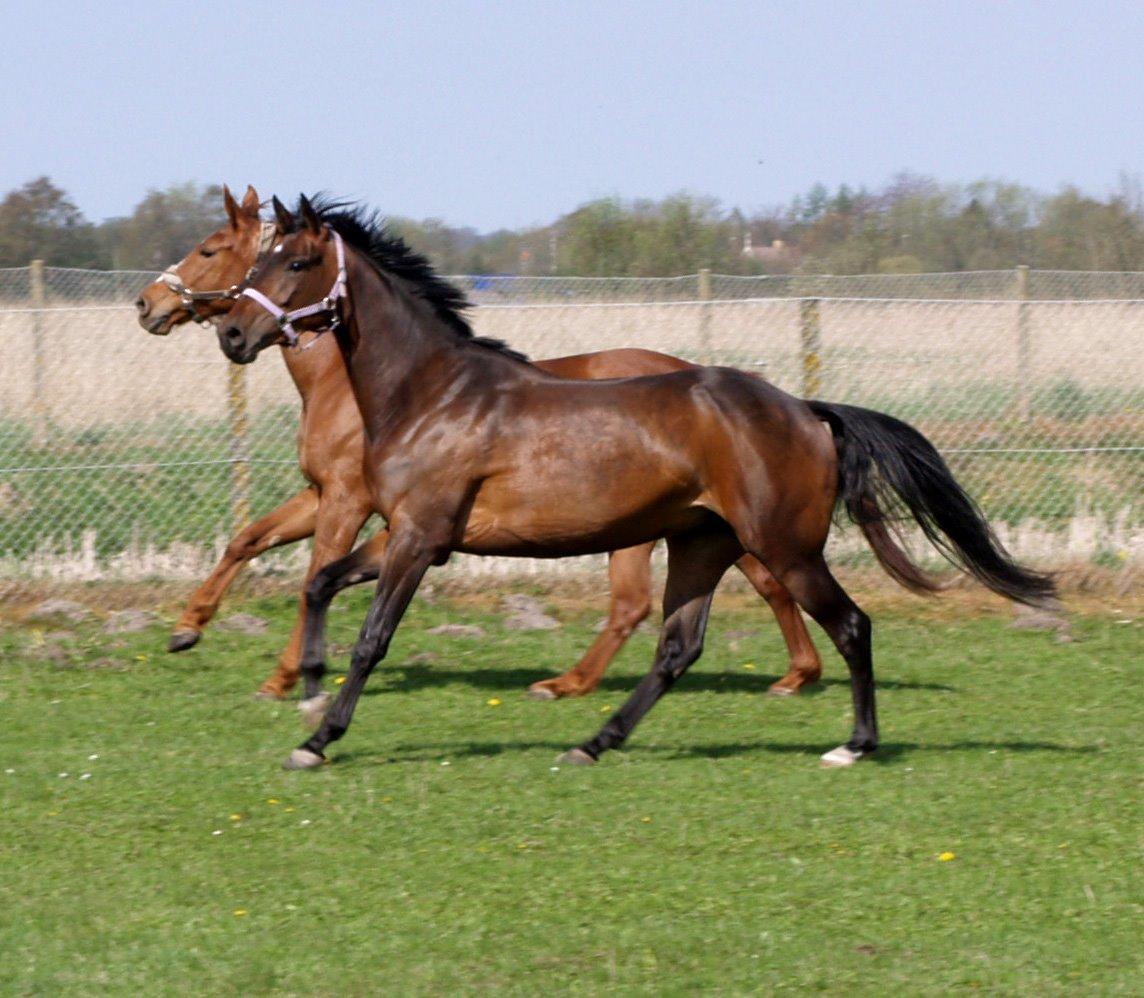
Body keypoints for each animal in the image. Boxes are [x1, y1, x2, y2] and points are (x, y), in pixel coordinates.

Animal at [136, 188, 823, 700]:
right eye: (252, 263)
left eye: (210, 249)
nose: (148, 305)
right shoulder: (322, 494)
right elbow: (248, 540)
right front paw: (187, 629)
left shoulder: (348, 501)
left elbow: (314, 570)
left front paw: (285, 677)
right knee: (744, 583)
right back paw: (792, 672)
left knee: (662, 598)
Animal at [215, 196, 1052, 773]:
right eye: (254, 262)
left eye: (296, 263)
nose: (231, 334)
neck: (433, 394)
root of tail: (805, 409)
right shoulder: (407, 532)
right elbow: (321, 580)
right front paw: (308, 685)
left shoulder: (419, 538)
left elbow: (373, 638)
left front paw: (320, 737)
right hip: (703, 544)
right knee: (679, 647)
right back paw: (594, 741)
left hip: (784, 547)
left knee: (850, 625)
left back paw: (854, 745)